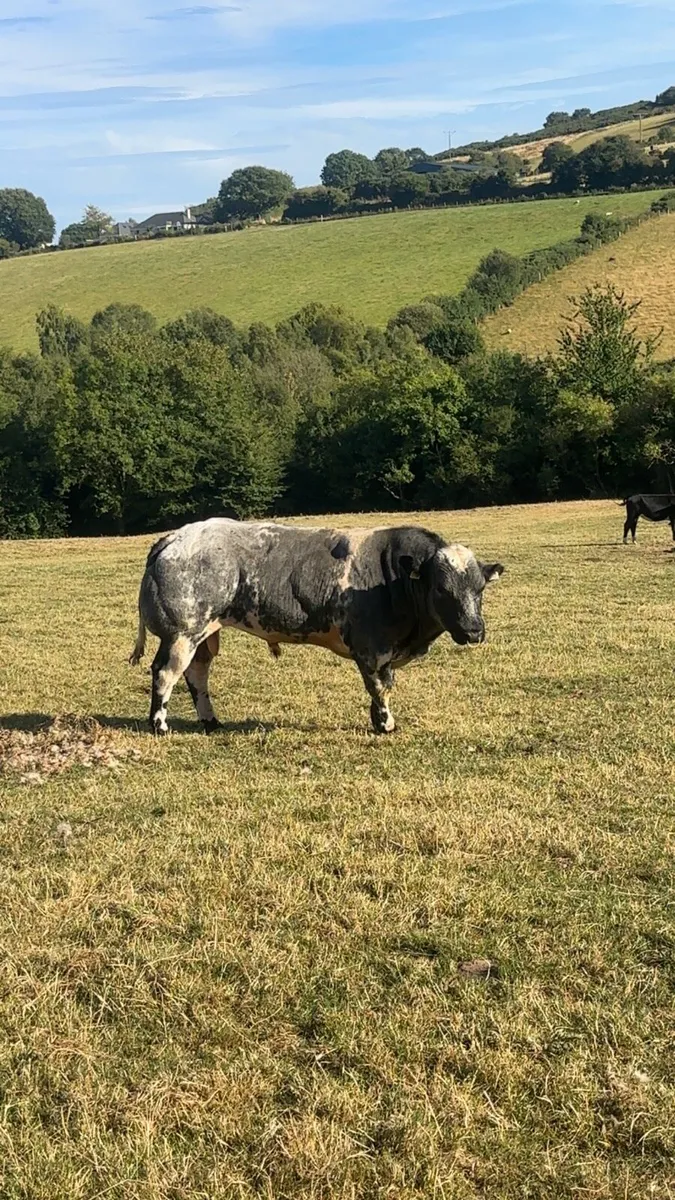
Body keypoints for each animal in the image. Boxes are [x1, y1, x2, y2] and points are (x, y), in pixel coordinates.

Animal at [129, 519, 504, 736]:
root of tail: (174, 537)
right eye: (440, 588)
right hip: (181, 633)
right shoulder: (372, 649)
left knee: (197, 674)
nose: (473, 630)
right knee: (165, 673)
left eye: (480, 588)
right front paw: (385, 724)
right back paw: (159, 725)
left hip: (204, 633)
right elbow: (380, 688)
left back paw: (210, 721)